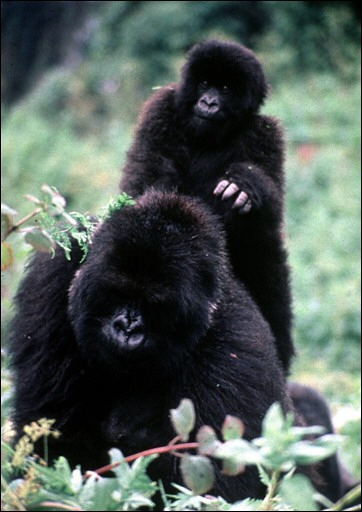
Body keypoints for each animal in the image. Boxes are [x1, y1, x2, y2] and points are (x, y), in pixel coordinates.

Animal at [9, 191, 288, 500]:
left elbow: (220, 486)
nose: (128, 327)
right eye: (117, 292)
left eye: (155, 305)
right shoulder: (55, 273)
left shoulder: (236, 351)